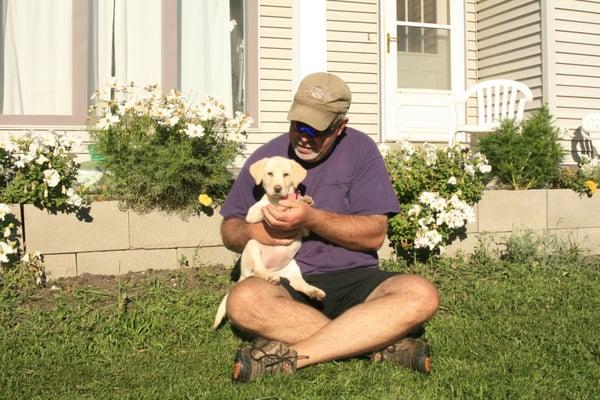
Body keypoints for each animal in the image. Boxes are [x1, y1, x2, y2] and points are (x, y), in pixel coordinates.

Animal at [213, 156, 326, 328]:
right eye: (270, 174)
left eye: (286, 174)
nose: (277, 188)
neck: (279, 199)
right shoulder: (251, 215)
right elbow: (265, 208)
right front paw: (277, 207)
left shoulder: (303, 230)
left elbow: (304, 223)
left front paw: (306, 201)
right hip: (253, 245)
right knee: (259, 270)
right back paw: (269, 276)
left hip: (293, 266)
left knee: (297, 283)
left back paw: (314, 291)